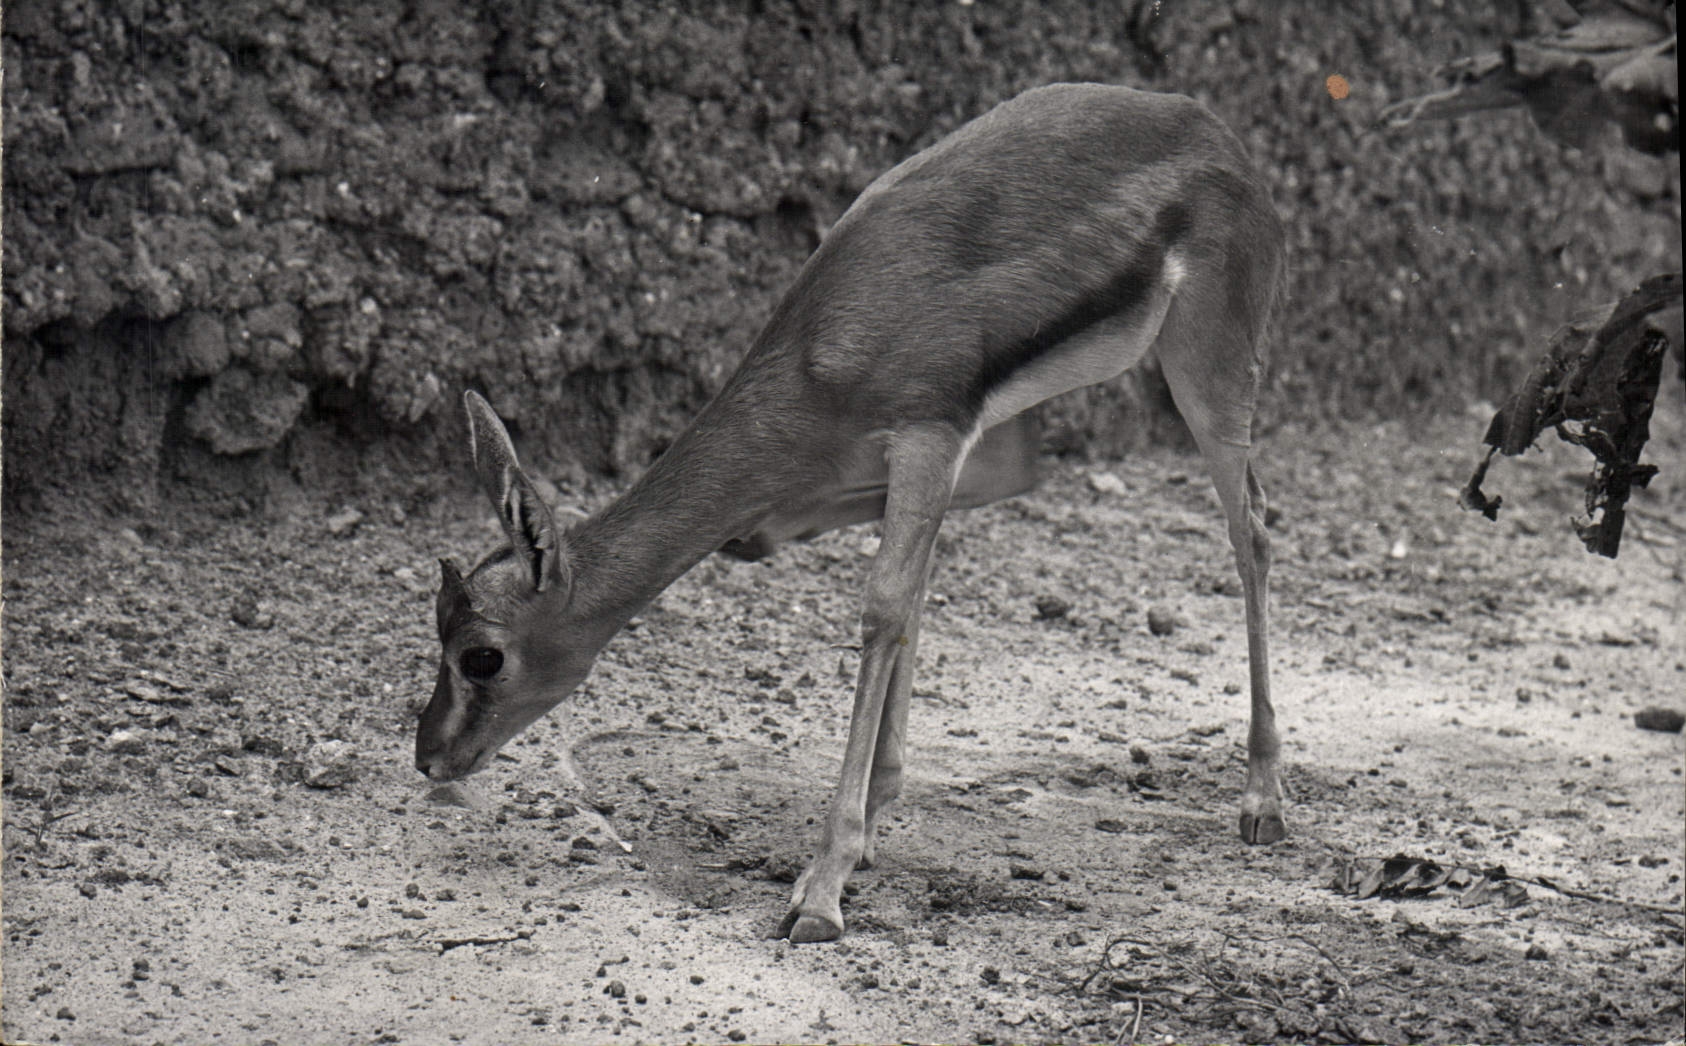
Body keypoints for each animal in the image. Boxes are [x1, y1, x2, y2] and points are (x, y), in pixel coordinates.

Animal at [416, 83, 1287, 943]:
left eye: (482, 656)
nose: (429, 757)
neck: (821, 353)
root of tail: (1215, 131)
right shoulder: (917, 459)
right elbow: (898, 589)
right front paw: (869, 823)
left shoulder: (929, 435)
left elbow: (882, 608)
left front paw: (822, 888)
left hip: (1207, 368)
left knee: (1252, 529)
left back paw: (1263, 803)